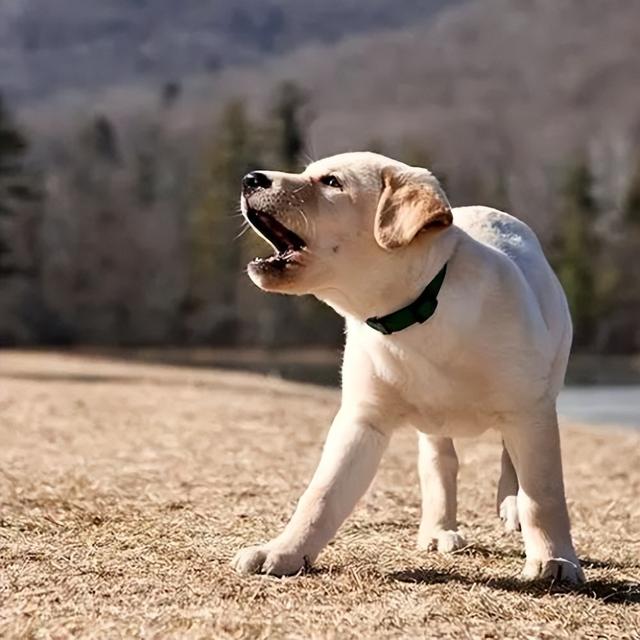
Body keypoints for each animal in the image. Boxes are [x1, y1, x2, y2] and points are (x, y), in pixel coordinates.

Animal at [231, 152, 584, 584]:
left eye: (331, 182)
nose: (250, 178)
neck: (416, 313)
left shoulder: (528, 409)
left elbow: (543, 493)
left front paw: (554, 560)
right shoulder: (362, 419)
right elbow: (322, 494)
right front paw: (284, 552)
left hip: (544, 383)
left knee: (510, 457)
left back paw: (509, 503)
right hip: (435, 425)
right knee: (440, 465)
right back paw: (438, 530)